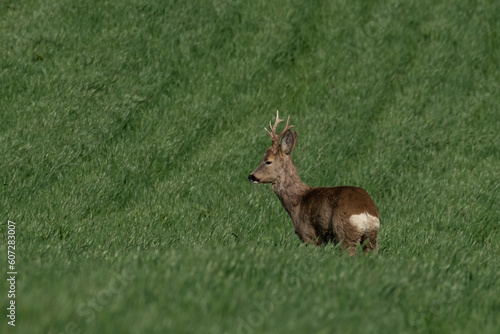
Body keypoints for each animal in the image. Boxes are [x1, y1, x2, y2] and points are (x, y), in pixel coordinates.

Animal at [248, 111, 380, 254]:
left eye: (268, 161)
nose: (251, 176)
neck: (298, 201)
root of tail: (366, 213)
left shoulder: (307, 233)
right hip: (371, 237)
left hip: (345, 232)